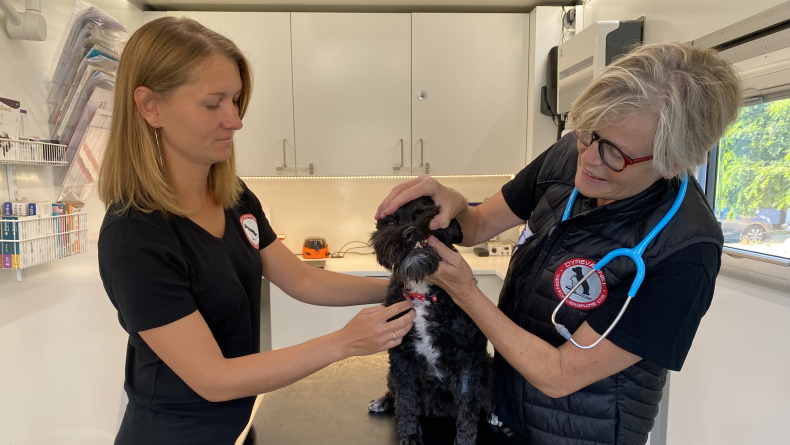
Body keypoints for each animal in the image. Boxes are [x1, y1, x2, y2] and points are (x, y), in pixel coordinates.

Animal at [372, 198, 496, 444]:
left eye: (423, 212)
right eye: (390, 223)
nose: (409, 233)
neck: (421, 290)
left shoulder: (467, 358)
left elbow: (468, 408)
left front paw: (465, 440)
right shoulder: (401, 357)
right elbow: (406, 401)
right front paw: (410, 435)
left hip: (487, 368)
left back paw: (493, 413)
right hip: (392, 374)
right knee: (395, 393)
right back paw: (383, 401)